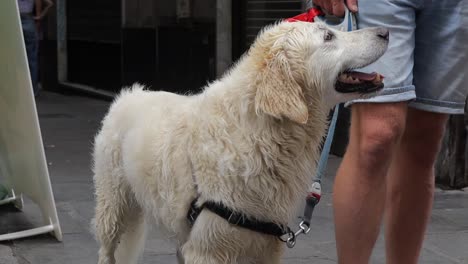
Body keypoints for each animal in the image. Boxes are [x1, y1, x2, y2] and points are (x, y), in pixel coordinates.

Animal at [93, 21, 390, 264]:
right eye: (328, 36)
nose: (386, 32)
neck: (260, 131)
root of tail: (129, 94)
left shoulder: (265, 244)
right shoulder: (209, 249)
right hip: (113, 209)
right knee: (106, 251)